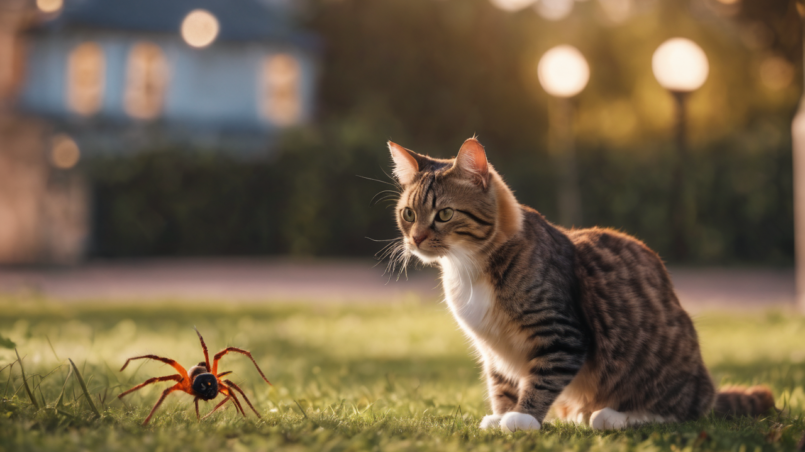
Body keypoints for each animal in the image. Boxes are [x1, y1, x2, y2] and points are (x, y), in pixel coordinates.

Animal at [386, 137, 776, 430]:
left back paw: (614, 416)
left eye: (444, 214)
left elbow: (541, 379)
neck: (467, 267)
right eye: (408, 213)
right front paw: (502, 416)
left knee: (679, 411)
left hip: (664, 373)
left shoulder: (562, 335)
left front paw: (522, 419)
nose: (416, 239)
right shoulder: (493, 349)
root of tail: (706, 385)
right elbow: (502, 384)